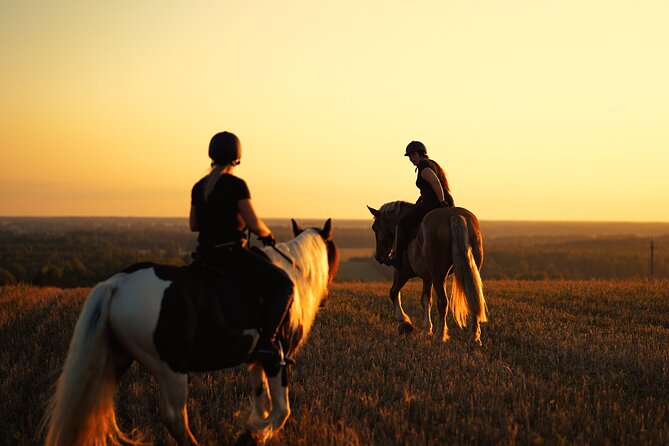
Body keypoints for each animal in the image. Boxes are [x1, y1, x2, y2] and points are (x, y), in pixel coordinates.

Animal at [44, 219, 339, 446]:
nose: (325, 298)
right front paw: (255, 435)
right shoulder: (276, 358)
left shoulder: (256, 361)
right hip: (170, 368)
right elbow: (280, 411)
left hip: (115, 360)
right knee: (174, 417)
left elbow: (262, 403)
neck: (293, 272)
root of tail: (117, 284)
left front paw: (251, 431)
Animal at [367, 202, 487, 344]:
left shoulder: (402, 272)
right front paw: (427, 329)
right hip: (467, 270)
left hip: (438, 275)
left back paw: (440, 335)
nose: (378, 256)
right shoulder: (427, 278)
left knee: (443, 302)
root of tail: (456, 216)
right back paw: (474, 337)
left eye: (374, 228)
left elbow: (393, 292)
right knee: (472, 296)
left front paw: (404, 322)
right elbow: (426, 300)